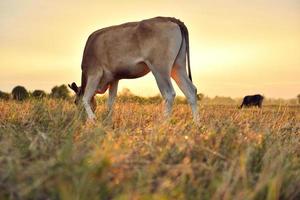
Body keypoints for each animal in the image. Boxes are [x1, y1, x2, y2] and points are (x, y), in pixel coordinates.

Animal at [69, 16, 198, 122]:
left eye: (75, 102)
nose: (78, 120)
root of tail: (170, 18)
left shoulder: (94, 73)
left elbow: (86, 98)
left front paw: (93, 119)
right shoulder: (114, 78)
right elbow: (110, 103)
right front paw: (107, 122)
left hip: (160, 68)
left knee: (169, 94)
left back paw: (163, 124)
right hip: (178, 66)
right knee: (190, 91)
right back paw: (197, 124)